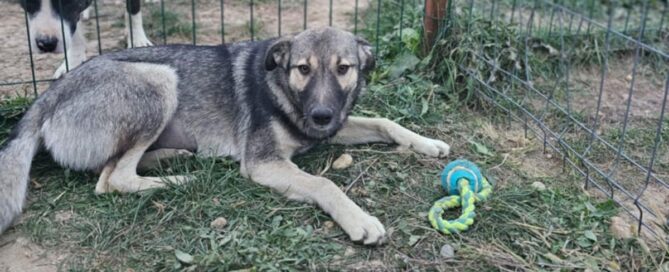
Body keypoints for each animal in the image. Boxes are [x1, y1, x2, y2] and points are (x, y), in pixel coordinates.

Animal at [1, 27, 448, 244]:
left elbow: (385, 122)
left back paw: (177, 157)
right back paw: (181, 179)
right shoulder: (264, 163)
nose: (321, 116)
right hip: (158, 80)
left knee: (113, 169)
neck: (280, 88)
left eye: (343, 68)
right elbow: (324, 184)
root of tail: (46, 97)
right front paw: (360, 220)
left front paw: (427, 143)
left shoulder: (331, 128)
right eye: (303, 68)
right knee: (112, 179)